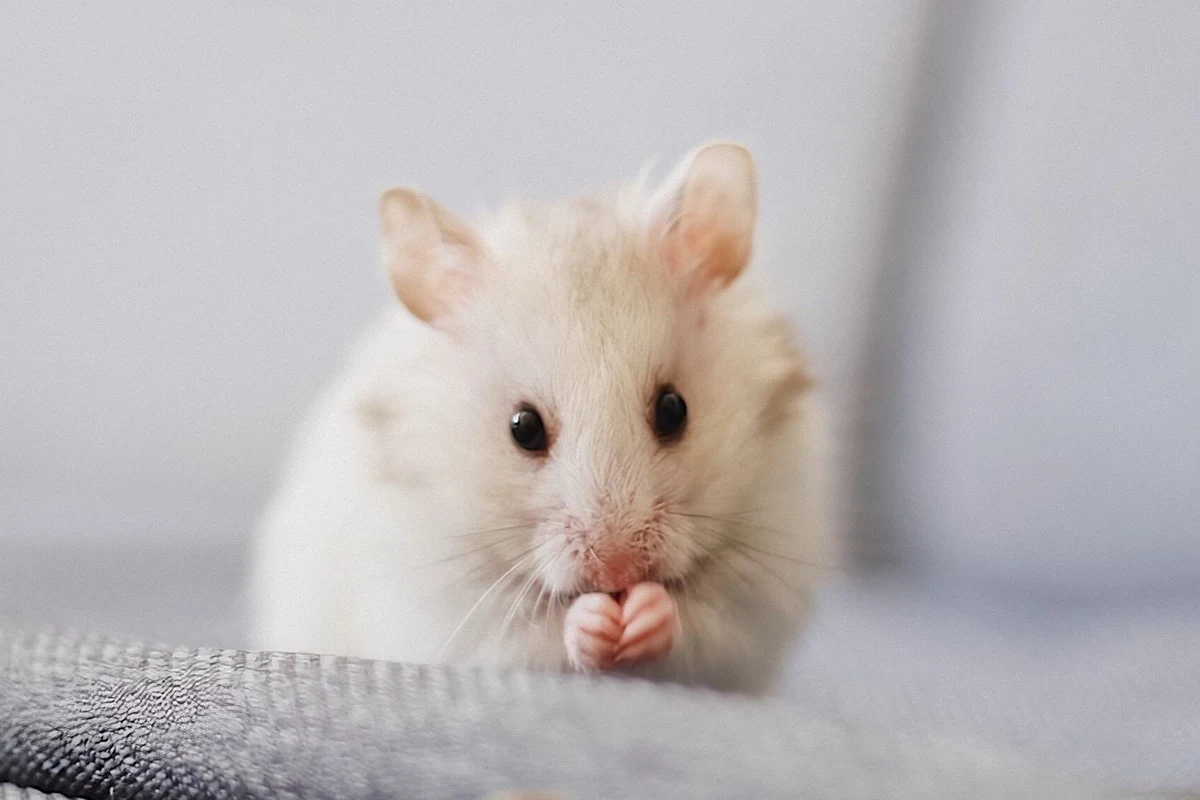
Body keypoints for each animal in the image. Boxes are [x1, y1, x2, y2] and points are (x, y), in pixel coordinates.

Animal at [249, 141, 831, 694]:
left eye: (674, 409)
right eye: (523, 428)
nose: (617, 570)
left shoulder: (759, 585)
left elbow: (698, 622)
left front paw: (645, 614)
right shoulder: (454, 607)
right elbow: (540, 632)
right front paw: (595, 622)